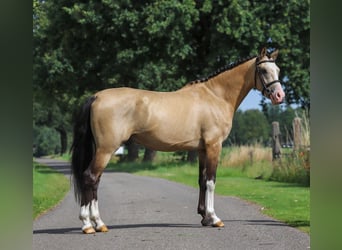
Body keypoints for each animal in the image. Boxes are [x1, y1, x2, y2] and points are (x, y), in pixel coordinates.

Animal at [71, 47, 284, 233]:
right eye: (263, 70)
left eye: (278, 70)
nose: (279, 96)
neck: (215, 96)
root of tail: (96, 96)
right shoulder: (214, 146)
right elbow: (211, 181)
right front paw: (214, 218)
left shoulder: (202, 149)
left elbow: (202, 180)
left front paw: (204, 217)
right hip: (106, 149)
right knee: (90, 177)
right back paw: (90, 224)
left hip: (102, 150)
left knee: (94, 180)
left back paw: (95, 223)